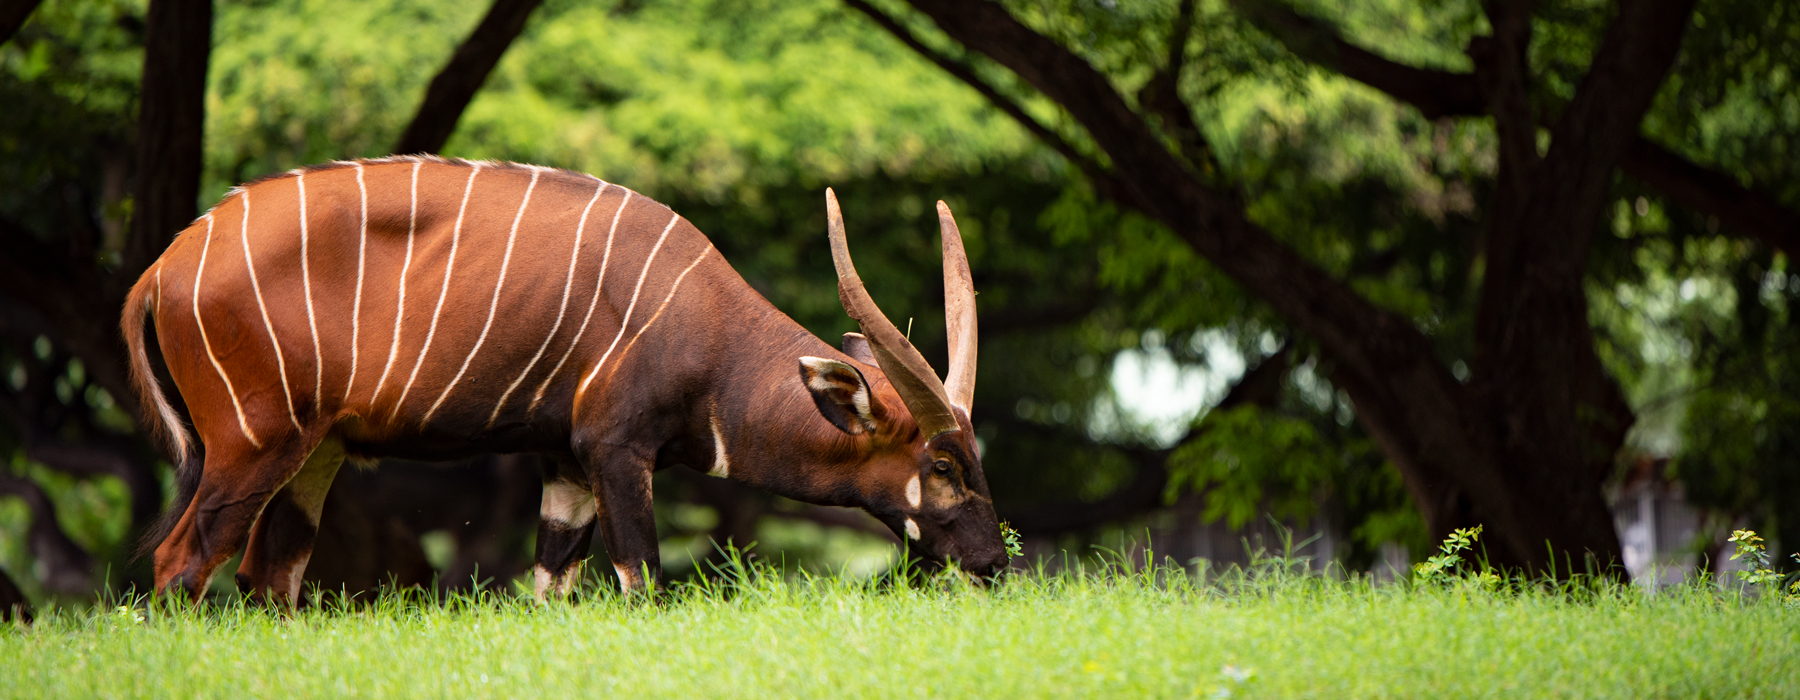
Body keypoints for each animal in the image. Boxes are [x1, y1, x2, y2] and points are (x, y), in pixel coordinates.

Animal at [123, 156, 1015, 601]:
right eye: (941, 465)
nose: (992, 565)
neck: (705, 325)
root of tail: (163, 269)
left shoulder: (562, 466)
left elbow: (551, 583)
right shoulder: (615, 450)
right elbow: (642, 580)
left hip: (316, 452)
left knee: (269, 575)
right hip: (252, 443)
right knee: (181, 563)